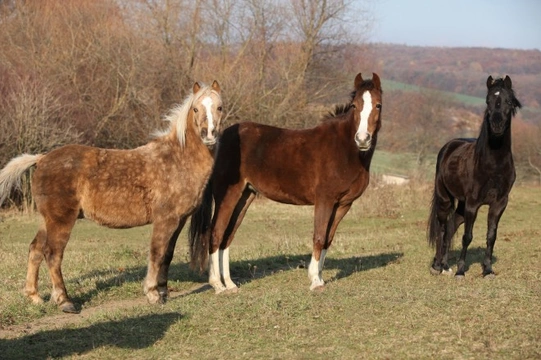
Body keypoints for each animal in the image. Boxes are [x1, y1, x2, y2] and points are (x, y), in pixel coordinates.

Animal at [0, 79, 223, 312]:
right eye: (196, 109)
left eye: (219, 107)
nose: (209, 135)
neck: (176, 159)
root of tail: (42, 158)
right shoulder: (165, 220)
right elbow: (156, 252)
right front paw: (152, 293)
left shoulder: (179, 220)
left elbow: (167, 255)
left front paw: (163, 292)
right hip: (61, 220)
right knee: (53, 254)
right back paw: (65, 301)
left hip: (47, 220)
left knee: (35, 249)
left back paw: (34, 297)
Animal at [188, 72, 382, 292]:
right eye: (355, 106)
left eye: (378, 105)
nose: (363, 139)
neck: (347, 150)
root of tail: (217, 141)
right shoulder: (325, 201)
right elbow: (319, 236)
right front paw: (314, 281)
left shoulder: (343, 205)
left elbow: (328, 239)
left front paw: (320, 278)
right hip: (227, 195)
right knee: (216, 233)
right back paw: (218, 285)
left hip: (245, 196)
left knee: (227, 236)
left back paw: (229, 284)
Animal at [428, 76, 520, 278]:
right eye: (487, 101)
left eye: (509, 101)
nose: (497, 125)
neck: (493, 165)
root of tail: (449, 146)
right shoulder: (473, 203)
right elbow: (467, 237)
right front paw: (461, 271)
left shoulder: (499, 203)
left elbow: (491, 236)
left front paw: (488, 270)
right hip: (445, 199)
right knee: (442, 228)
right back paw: (438, 266)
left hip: (461, 205)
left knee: (451, 227)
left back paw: (446, 265)